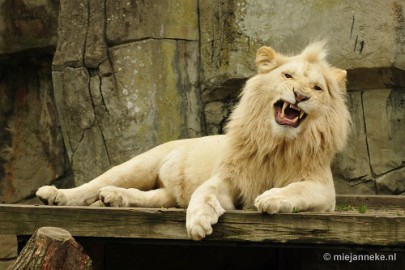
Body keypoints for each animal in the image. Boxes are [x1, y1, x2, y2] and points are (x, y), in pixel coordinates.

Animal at [36, 42, 348, 240]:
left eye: (317, 88)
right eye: (287, 75)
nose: (300, 95)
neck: (277, 143)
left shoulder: (324, 192)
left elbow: (297, 189)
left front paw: (270, 197)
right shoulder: (228, 178)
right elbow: (204, 191)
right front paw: (198, 223)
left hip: (166, 193)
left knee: (149, 196)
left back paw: (112, 198)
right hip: (139, 164)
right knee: (93, 184)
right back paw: (56, 195)